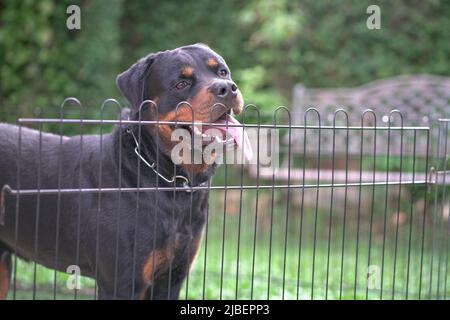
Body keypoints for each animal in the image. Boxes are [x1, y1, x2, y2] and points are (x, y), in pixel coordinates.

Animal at [0, 43, 251, 298]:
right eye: (181, 84)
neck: (169, 179)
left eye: (222, 72)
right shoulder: (122, 283)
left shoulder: (171, 279)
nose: (227, 88)